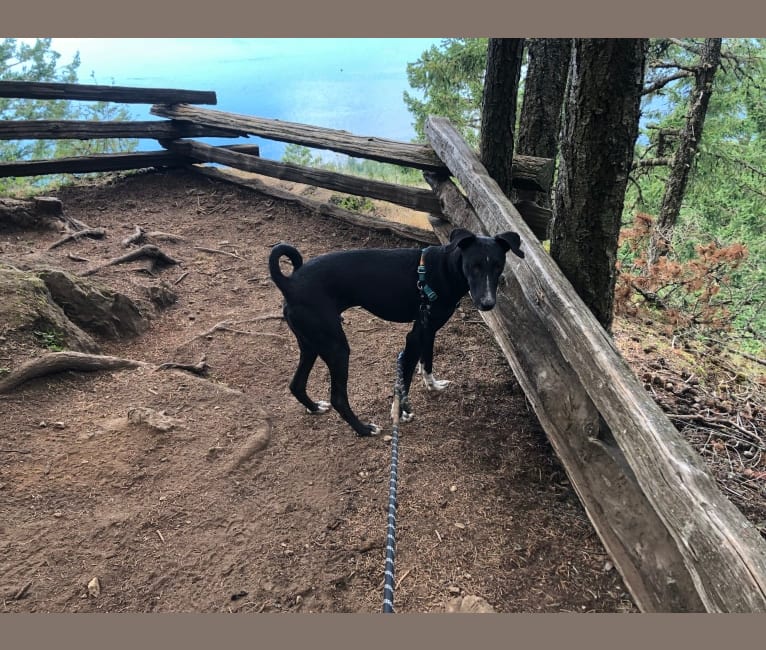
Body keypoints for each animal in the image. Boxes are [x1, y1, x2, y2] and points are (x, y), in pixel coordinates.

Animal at [268, 228, 524, 436]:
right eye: (474, 266)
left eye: (498, 266)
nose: (487, 303)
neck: (445, 269)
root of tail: (289, 283)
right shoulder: (414, 338)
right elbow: (406, 378)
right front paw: (402, 413)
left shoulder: (427, 329)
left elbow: (427, 361)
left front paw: (432, 385)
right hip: (336, 348)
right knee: (338, 397)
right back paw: (364, 429)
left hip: (311, 343)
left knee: (296, 384)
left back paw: (314, 407)